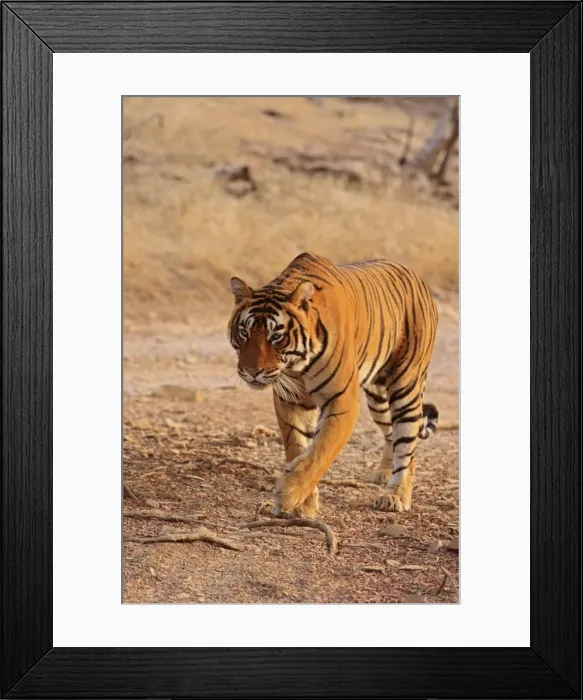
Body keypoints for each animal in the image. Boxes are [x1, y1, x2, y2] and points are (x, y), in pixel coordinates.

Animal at [228, 251, 439, 518]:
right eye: (244, 333)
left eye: (276, 336)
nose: (252, 372)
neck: (297, 365)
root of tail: (417, 277)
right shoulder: (290, 401)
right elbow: (297, 447)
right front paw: (303, 505)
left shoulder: (342, 401)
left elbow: (319, 452)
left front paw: (288, 494)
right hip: (378, 398)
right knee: (393, 435)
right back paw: (383, 473)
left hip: (406, 387)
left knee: (407, 442)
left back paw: (396, 495)